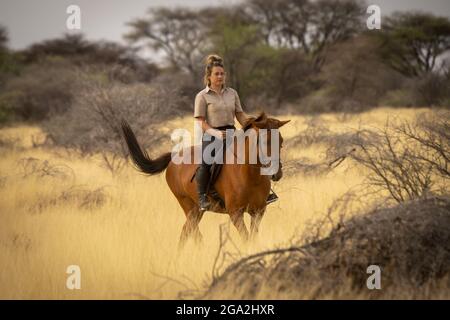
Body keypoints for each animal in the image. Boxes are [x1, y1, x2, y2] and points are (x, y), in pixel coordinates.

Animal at [120, 112, 288, 248]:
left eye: (280, 141)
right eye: (265, 141)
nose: (277, 173)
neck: (251, 175)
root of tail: (173, 158)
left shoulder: (258, 211)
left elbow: (252, 238)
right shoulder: (235, 213)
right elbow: (246, 238)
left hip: (196, 210)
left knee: (186, 232)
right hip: (189, 207)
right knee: (192, 232)